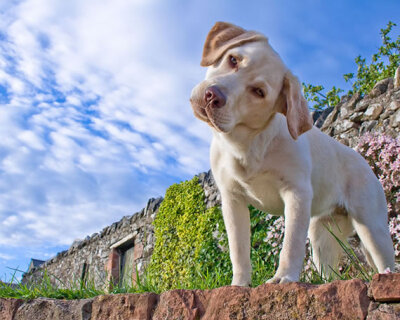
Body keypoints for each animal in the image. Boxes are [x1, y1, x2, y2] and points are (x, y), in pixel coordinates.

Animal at [190, 21, 394, 284]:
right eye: (233, 59)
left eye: (258, 92)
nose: (212, 96)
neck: (247, 144)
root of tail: (363, 160)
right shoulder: (232, 199)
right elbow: (238, 250)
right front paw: (239, 284)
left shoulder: (296, 194)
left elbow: (291, 245)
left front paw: (283, 278)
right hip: (322, 235)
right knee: (329, 274)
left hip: (373, 229)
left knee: (385, 262)